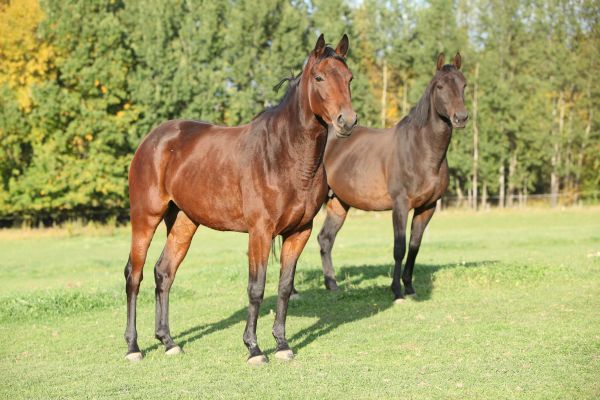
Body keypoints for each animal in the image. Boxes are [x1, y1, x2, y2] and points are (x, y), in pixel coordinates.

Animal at [123, 35, 356, 366]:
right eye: (319, 77)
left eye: (349, 78)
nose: (346, 121)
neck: (284, 156)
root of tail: (152, 140)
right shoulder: (260, 232)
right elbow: (256, 288)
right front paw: (254, 349)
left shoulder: (300, 232)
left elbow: (285, 287)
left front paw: (282, 344)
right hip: (146, 217)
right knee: (135, 274)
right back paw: (133, 347)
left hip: (184, 221)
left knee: (164, 272)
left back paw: (168, 341)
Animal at [316, 54, 466, 304]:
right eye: (440, 86)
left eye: (464, 84)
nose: (461, 118)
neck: (421, 150)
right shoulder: (400, 205)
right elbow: (399, 248)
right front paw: (396, 291)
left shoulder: (427, 207)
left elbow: (414, 246)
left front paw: (410, 287)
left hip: (338, 203)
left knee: (325, 238)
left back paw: (332, 285)